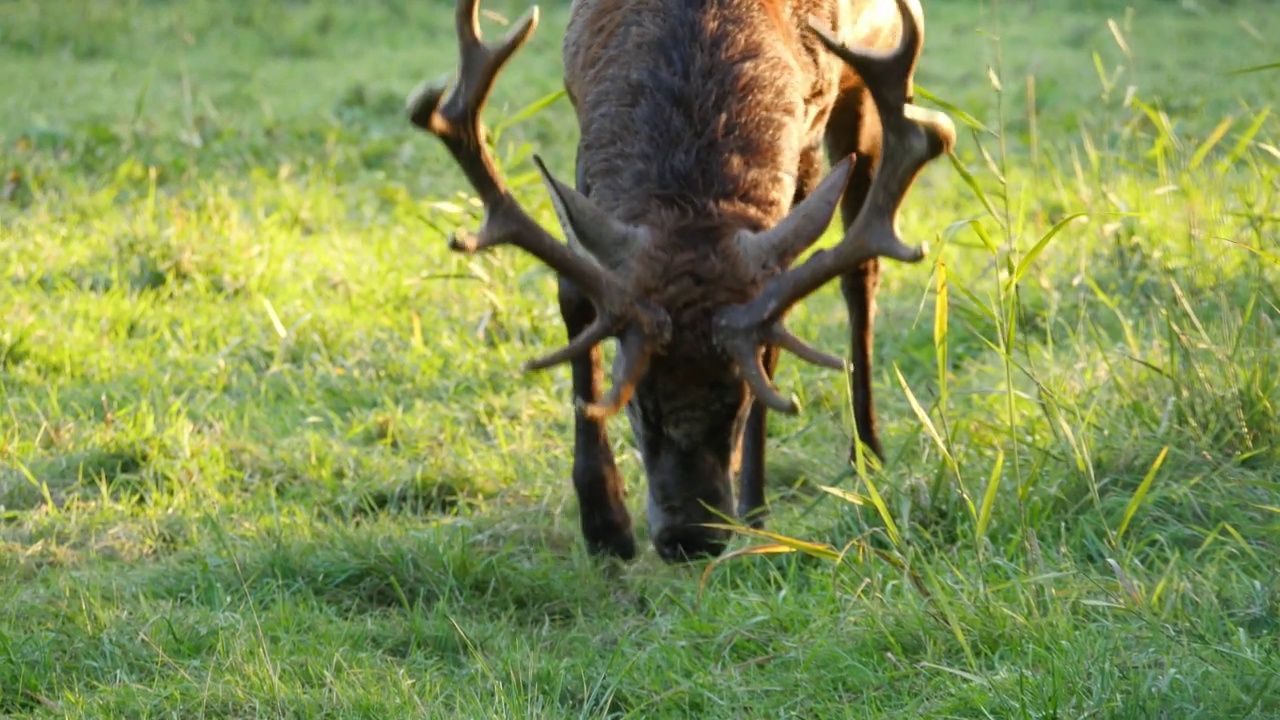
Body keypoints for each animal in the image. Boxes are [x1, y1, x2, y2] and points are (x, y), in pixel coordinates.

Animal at [404, 0, 957, 561]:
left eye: (740, 401)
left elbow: (776, 333)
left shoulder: (809, 130)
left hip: (869, 83)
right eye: (638, 404)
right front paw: (604, 524)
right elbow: (576, 297)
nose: (691, 537)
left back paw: (867, 450)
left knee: (861, 272)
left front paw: (754, 512)